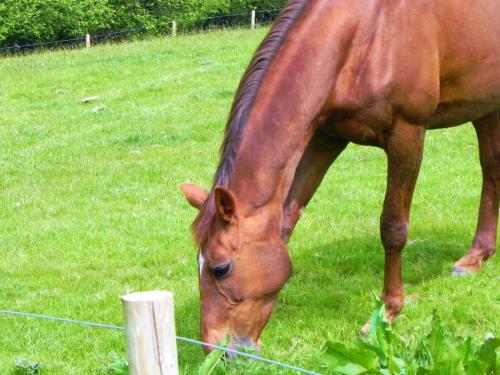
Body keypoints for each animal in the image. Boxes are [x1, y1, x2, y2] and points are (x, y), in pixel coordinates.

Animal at [180, 0, 500, 352]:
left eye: (221, 268)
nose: (216, 352)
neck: (367, 32)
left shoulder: (407, 134)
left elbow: (393, 228)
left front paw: (387, 311)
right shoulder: (326, 137)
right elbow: (288, 217)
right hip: (485, 104)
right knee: (492, 168)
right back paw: (475, 256)